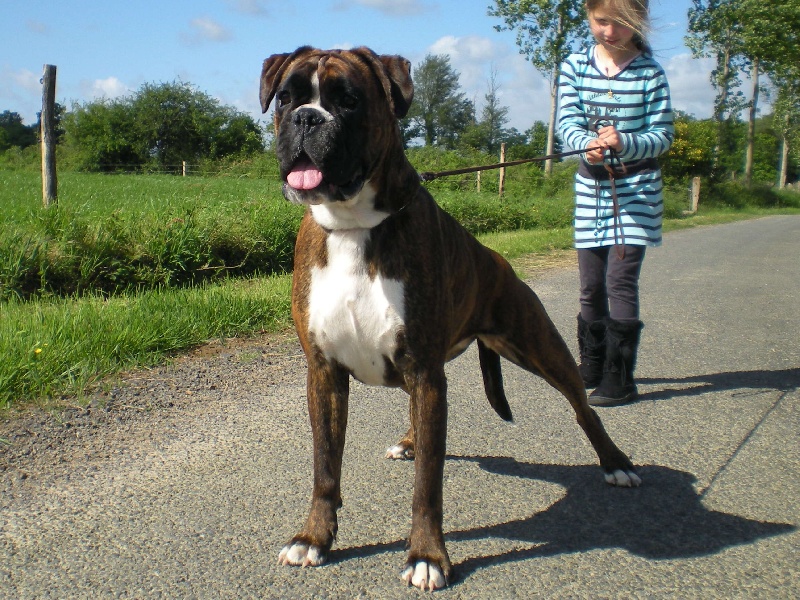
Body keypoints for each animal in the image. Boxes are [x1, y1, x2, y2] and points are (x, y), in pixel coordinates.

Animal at [260, 47, 640, 592]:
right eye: (286, 98)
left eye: (349, 100)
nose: (307, 118)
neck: (353, 224)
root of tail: (498, 259)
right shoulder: (325, 373)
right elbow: (325, 467)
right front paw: (314, 538)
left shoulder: (425, 372)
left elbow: (428, 486)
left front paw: (427, 556)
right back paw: (409, 442)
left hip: (540, 348)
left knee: (583, 409)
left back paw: (616, 463)